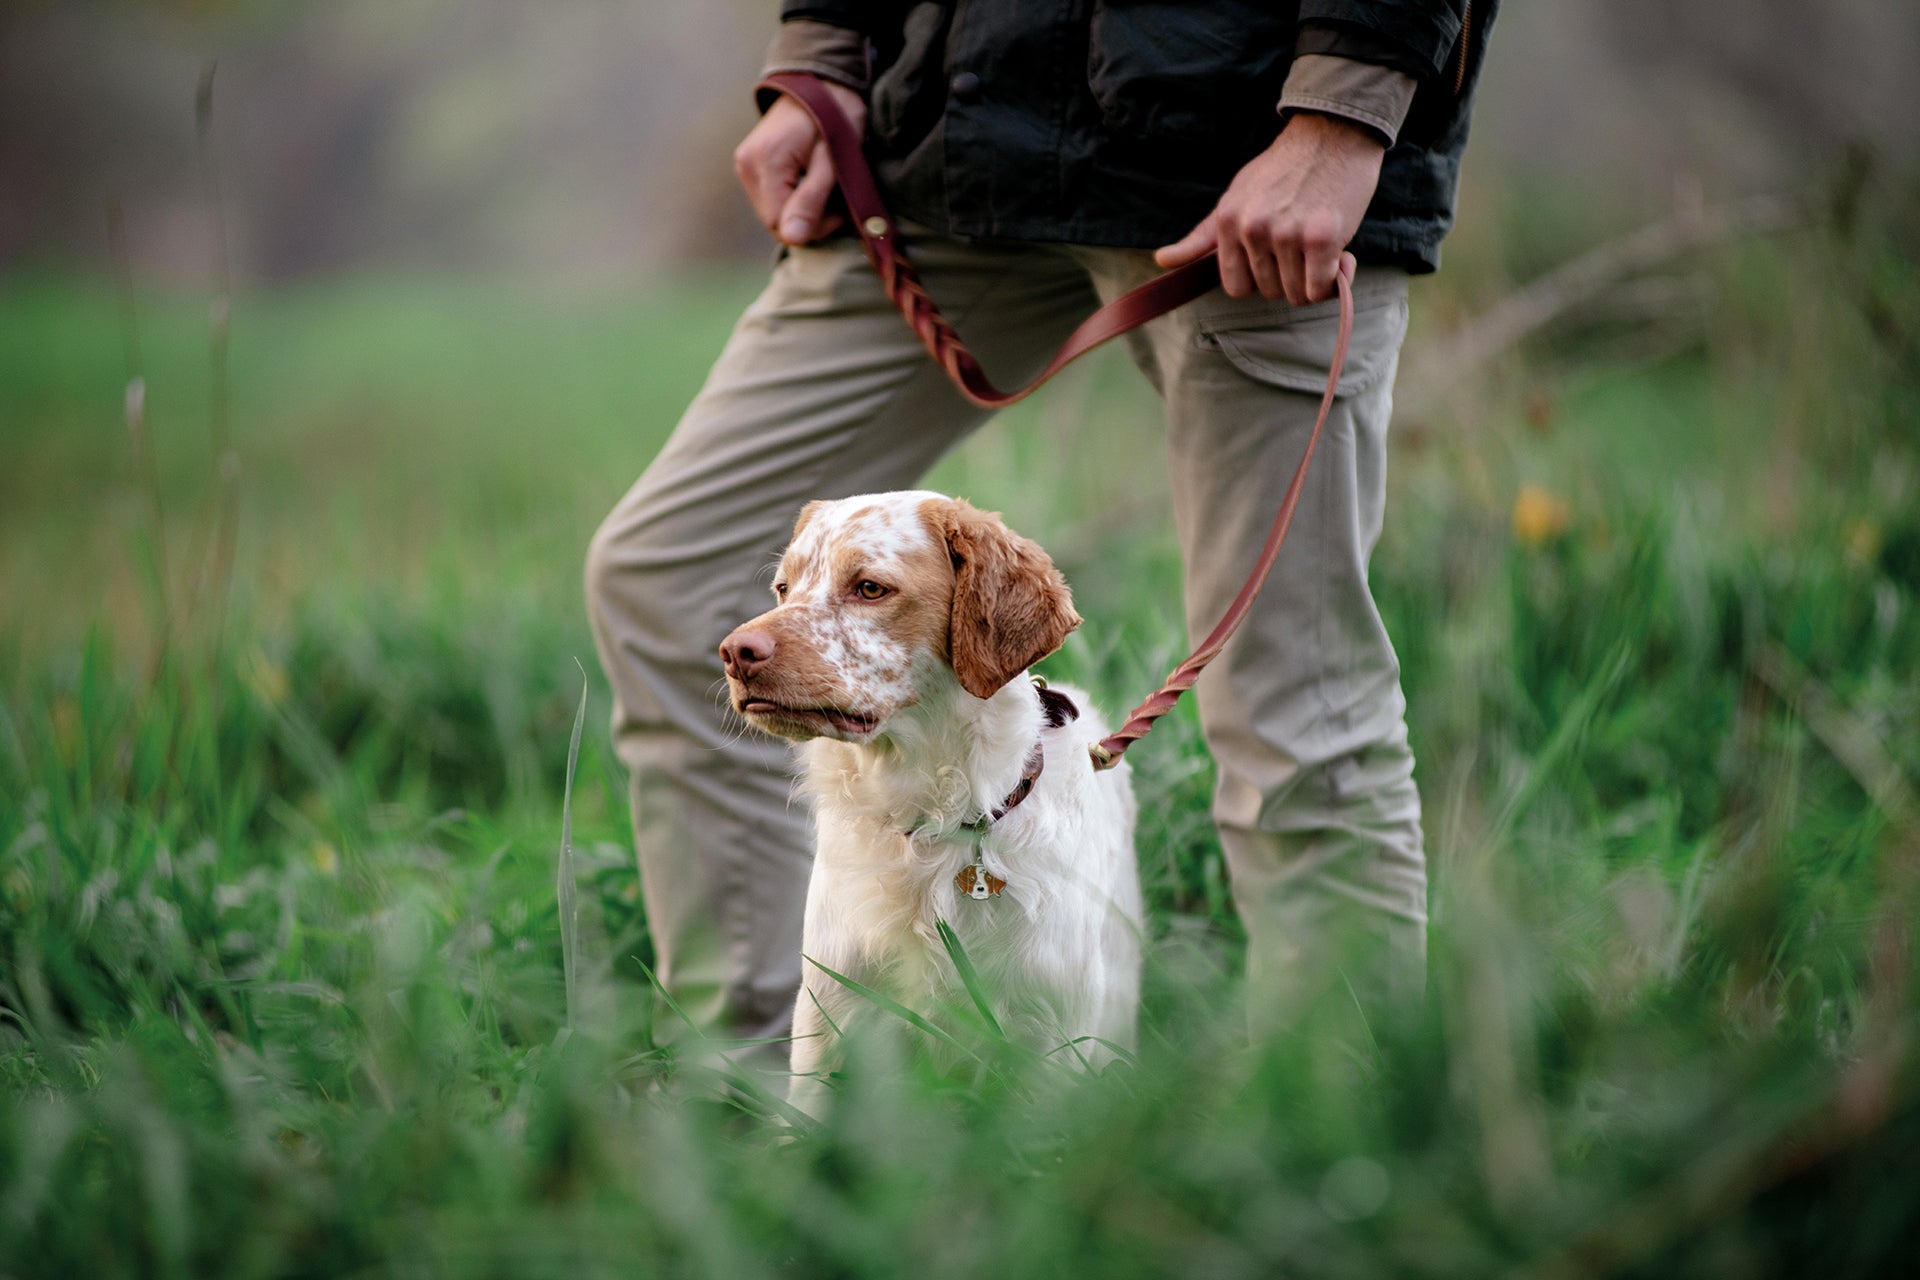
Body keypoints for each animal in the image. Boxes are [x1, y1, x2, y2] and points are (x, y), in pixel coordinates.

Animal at [721, 491, 1136, 1113]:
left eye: (870, 588)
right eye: (784, 588)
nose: (735, 653)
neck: (934, 821)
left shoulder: (1053, 1033)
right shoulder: (829, 1015)